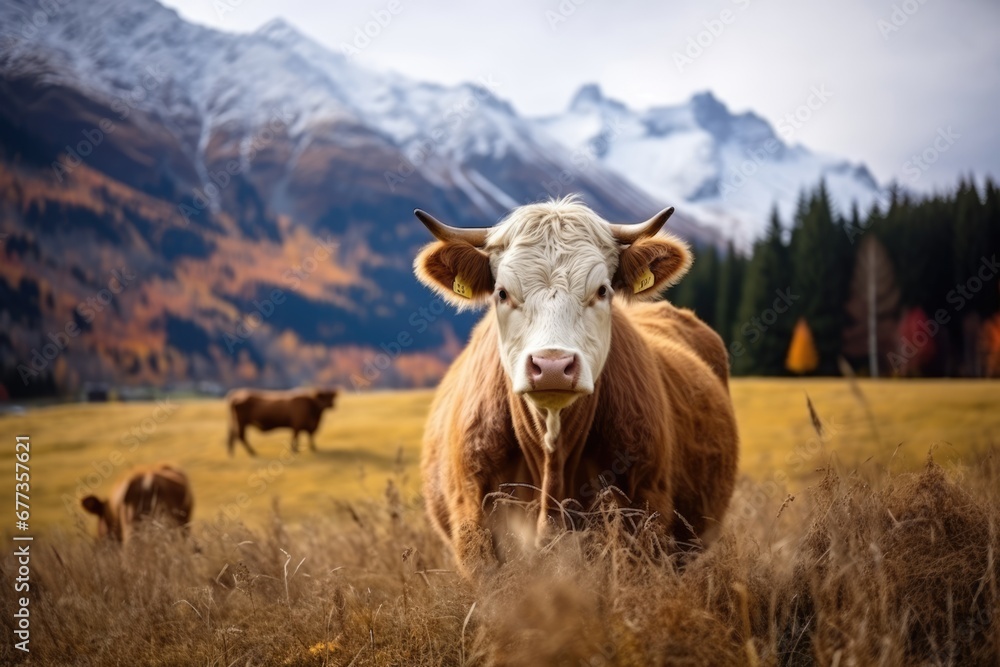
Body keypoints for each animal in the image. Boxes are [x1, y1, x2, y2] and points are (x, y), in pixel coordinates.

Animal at [410, 196, 740, 576]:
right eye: (502, 293)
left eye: (602, 290)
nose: (552, 366)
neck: (553, 457)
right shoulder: (474, 520)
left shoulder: (645, 514)